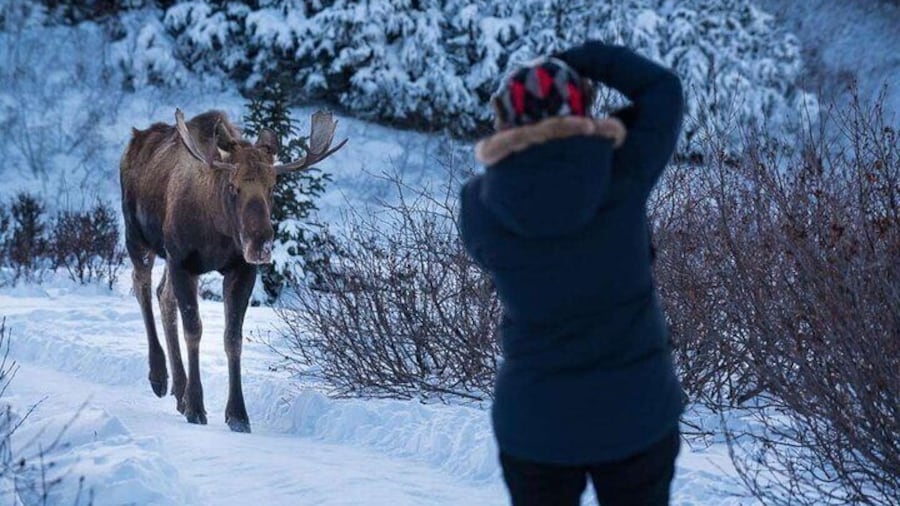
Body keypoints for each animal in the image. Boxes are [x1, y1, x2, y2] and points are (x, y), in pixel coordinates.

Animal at [120, 108, 347, 432]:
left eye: (273, 187)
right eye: (232, 186)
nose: (260, 243)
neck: (217, 231)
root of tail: (135, 140)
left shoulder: (241, 269)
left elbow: (233, 338)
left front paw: (237, 414)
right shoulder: (181, 261)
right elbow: (194, 330)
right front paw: (196, 407)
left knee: (164, 296)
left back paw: (179, 389)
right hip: (137, 236)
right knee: (142, 286)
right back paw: (160, 377)